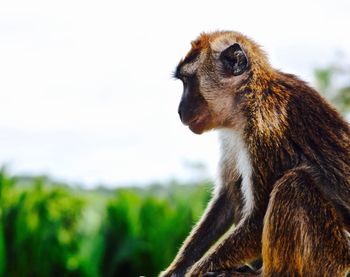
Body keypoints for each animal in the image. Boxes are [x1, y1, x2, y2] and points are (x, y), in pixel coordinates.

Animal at [160, 30, 350, 276]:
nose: (179, 110)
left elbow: (258, 218)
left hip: (333, 259)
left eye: (188, 81)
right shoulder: (232, 134)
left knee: (294, 184)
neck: (249, 98)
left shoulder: (265, 130)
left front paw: (196, 271)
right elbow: (227, 197)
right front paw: (176, 269)